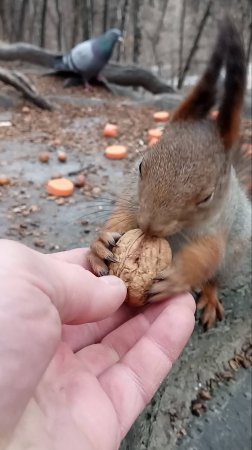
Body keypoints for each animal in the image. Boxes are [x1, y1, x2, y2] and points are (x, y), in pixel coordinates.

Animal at [87, 17, 252, 328]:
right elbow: (122, 215)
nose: (150, 227)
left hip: (236, 252)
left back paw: (210, 297)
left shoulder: (216, 226)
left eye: (207, 197)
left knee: (214, 277)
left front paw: (177, 278)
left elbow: (207, 255)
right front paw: (100, 244)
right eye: (141, 165)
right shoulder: (132, 197)